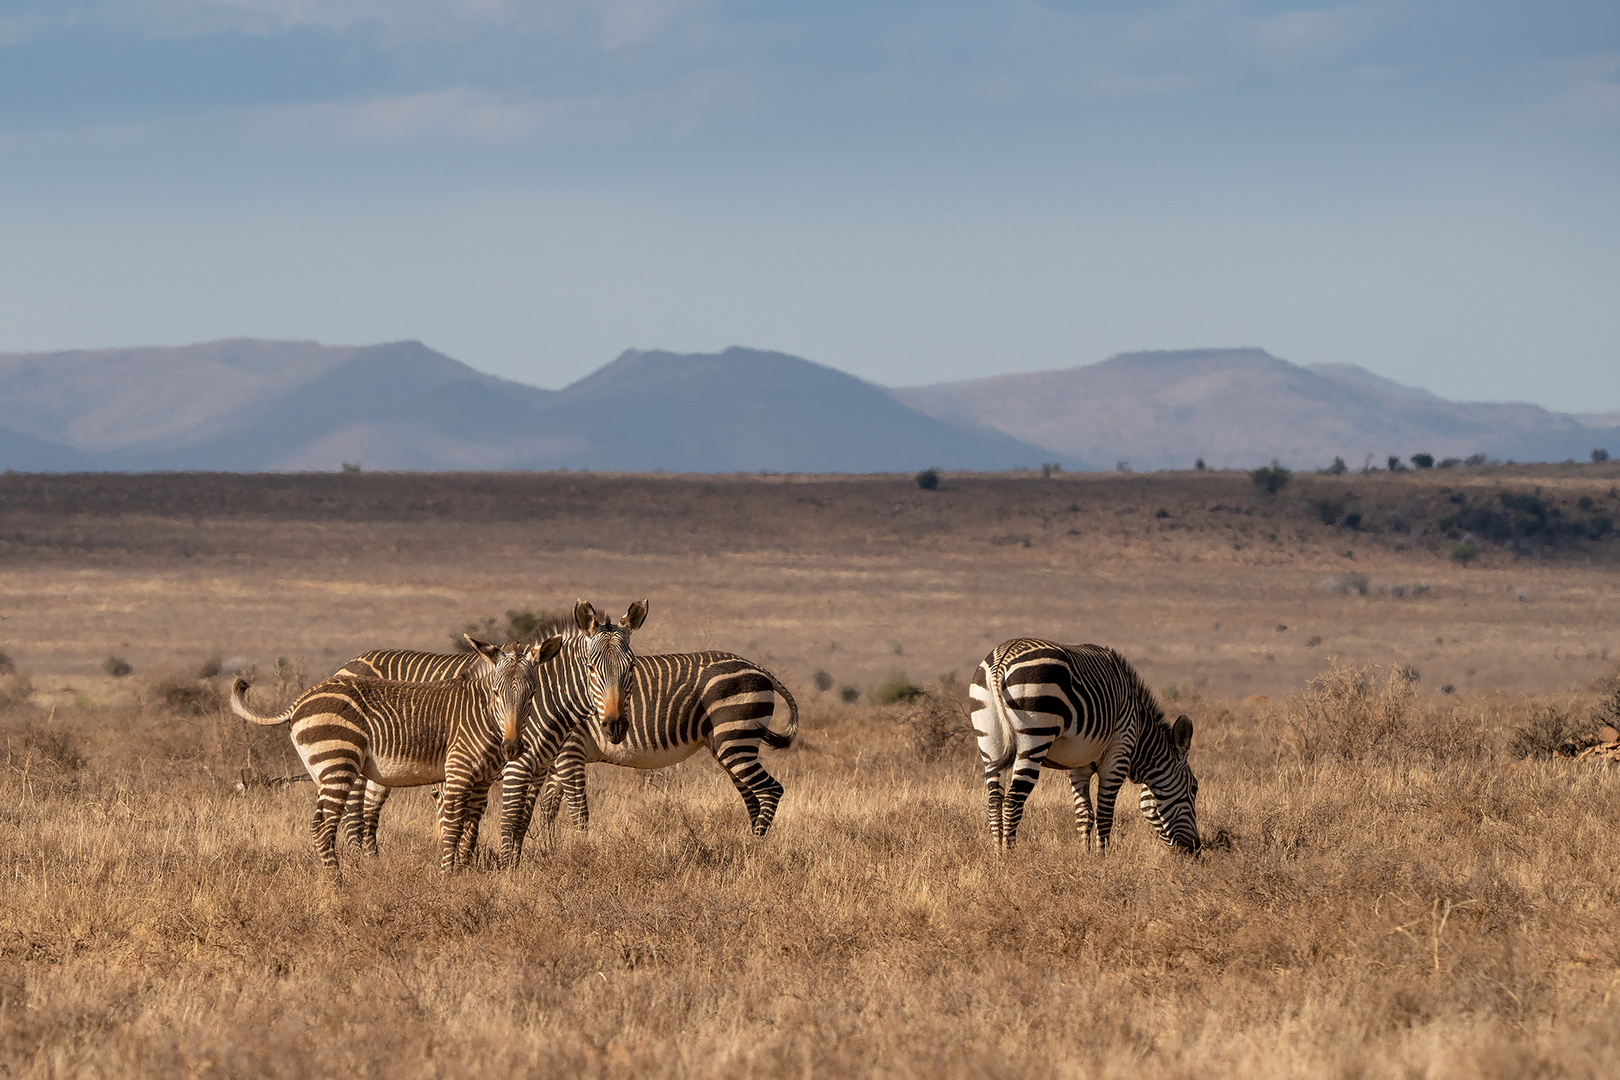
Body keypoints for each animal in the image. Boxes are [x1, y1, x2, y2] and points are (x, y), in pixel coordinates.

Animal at [230, 637, 563, 874]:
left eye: (532, 695)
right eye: (496, 693)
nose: (512, 748)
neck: (483, 716)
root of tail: (301, 699)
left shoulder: (482, 781)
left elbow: (471, 830)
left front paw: (466, 873)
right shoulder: (458, 772)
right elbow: (453, 827)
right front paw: (449, 877)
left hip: (321, 770)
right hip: (339, 762)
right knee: (323, 825)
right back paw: (336, 882)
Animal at [521, 647, 800, 841]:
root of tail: (759, 668)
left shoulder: (571, 751)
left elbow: (577, 812)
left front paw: (580, 851)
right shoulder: (558, 761)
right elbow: (548, 808)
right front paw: (550, 848)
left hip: (734, 738)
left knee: (771, 790)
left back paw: (755, 848)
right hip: (731, 743)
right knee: (752, 797)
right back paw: (748, 845)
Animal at [959, 637, 1205, 854]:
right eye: (1194, 788)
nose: (1195, 849)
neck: (1139, 737)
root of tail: (1001, 661)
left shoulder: (1079, 764)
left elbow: (1084, 814)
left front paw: (1086, 858)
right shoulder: (1118, 754)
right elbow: (1105, 814)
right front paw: (1103, 860)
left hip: (989, 740)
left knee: (994, 802)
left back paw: (997, 855)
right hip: (1035, 733)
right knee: (1012, 801)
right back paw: (1009, 859)